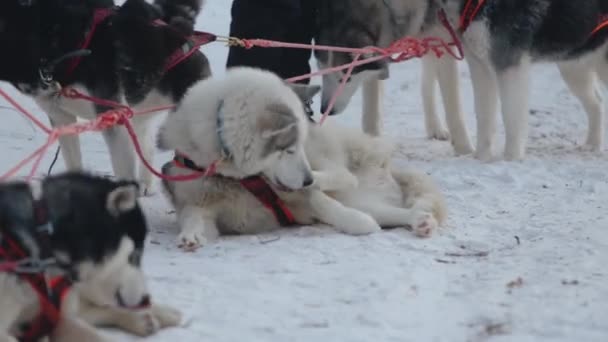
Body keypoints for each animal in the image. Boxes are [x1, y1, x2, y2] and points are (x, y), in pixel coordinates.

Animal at [159, 67, 448, 250]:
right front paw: (191, 235)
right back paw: (420, 221)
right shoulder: (199, 203)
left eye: (299, 146)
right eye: (288, 150)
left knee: (348, 181)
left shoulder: (300, 194)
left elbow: (328, 205)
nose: (307, 179)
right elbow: (193, 217)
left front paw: (359, 223)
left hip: (340, 173)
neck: (236, 176)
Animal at [316, 0, 608, 160]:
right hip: (573, 69)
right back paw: (592, 144)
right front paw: (481, 158)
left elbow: (510, 118)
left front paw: (510, 159)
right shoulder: (479, 64)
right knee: (596, 103)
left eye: (345, 76)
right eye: (321, 70)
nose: (323, 109)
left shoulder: (508, 66)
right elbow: (484, 115)